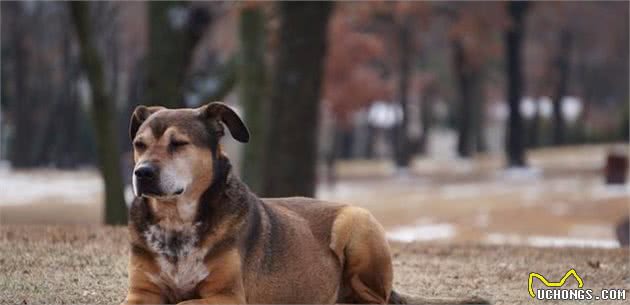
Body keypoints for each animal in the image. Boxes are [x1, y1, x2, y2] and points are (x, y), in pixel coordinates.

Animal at [122, 102, 488, 304]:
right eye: (139, 144)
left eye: (178, 144)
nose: (142, 173)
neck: (176, 222)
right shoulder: (140, 293)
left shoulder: (226, 296)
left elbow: (184, 303)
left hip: (357, 221)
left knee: (375, 301)